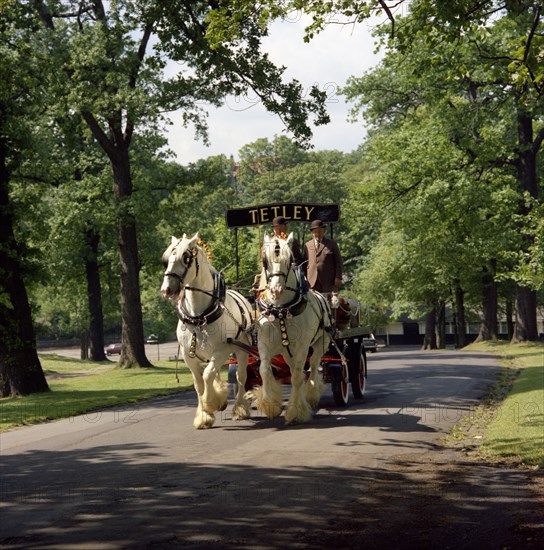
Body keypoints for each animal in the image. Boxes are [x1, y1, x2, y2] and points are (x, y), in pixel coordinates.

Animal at [160, 233, 254, 432]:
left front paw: (210, 405)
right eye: (167, 259)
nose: (166, 289)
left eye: (186, 257)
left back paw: (240, 408)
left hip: (241, 350)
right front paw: (204, 415)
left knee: (241, 377)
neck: (199, 316)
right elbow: (199, 383)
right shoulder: (188, 355)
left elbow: (207, 375)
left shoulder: (222, 350)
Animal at [254, 234, 332, 426]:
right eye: (265, 260)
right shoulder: (264, 343)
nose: (276, 290)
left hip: (321, 343)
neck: (281, 309)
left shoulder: (302, 347)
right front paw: (270, 404)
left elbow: (297, 377)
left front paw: (295, 411)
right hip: (286, 352)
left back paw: (311, 395)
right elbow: (264, 370)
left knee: (312, 367)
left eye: (289, 260)